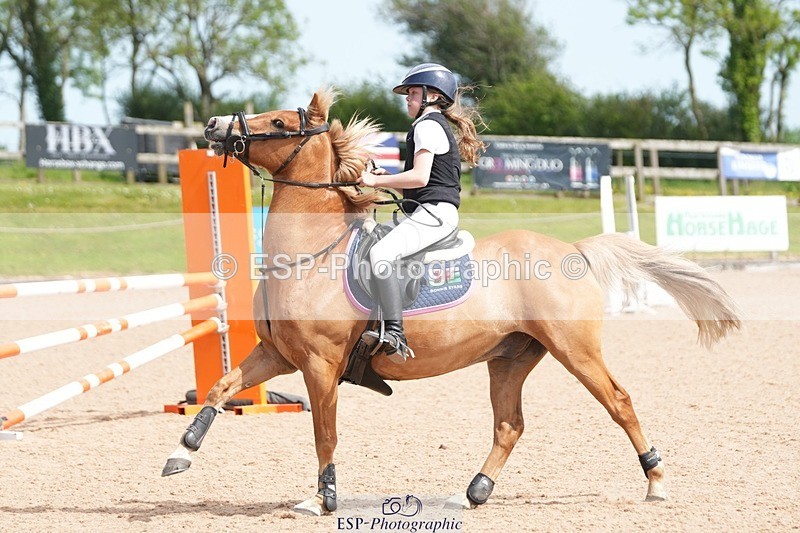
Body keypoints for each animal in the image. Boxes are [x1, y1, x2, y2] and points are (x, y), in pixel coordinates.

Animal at [162, 89, 742, 516]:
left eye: (281, 123)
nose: (213, 125)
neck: (312, 253)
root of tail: (572, 250)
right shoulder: (278, 355)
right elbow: (220, 388)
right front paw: (180, 453)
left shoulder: (320, 365)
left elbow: (325, 434)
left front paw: (323, 498)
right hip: (510, 358)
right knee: (509, 425)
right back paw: (474, 492)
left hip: (575, 350)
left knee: (618, 401)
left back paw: (656, 481)